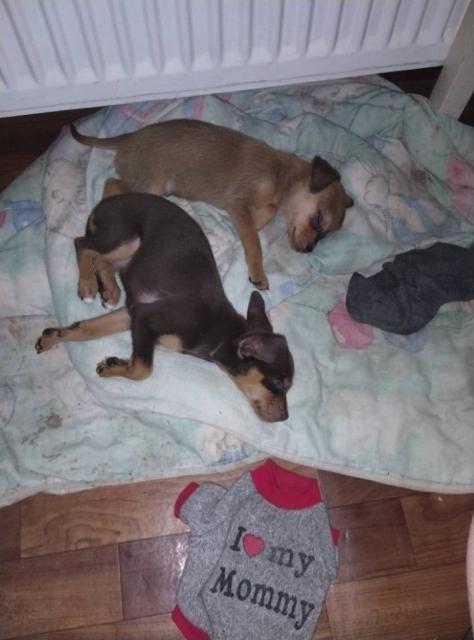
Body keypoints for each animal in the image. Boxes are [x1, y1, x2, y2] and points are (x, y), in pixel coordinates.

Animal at [35, 193, 294, 422]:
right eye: (277, 384)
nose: (285, 418)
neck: (216, 332)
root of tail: (105, 203)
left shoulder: (131, 314)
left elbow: (87, 329)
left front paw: (52, 336)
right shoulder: (145, 319)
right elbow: (142, 369)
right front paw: (113, 367)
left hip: (127, 252)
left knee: (99, 258)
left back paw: (109, 289)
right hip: (122, 238)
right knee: (82, 244)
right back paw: (88, 283)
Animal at [71, 119, 354, 290]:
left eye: (325, 235)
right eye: (318, 219)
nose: (309, 250)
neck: (280, 174)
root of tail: (128, 139)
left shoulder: (245, 207)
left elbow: (262, 217)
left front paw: (252, 223)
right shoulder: (238, 201)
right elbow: (254, 242)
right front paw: (257, 271)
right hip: (151, 186)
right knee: (110, 184)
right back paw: (88, 277)